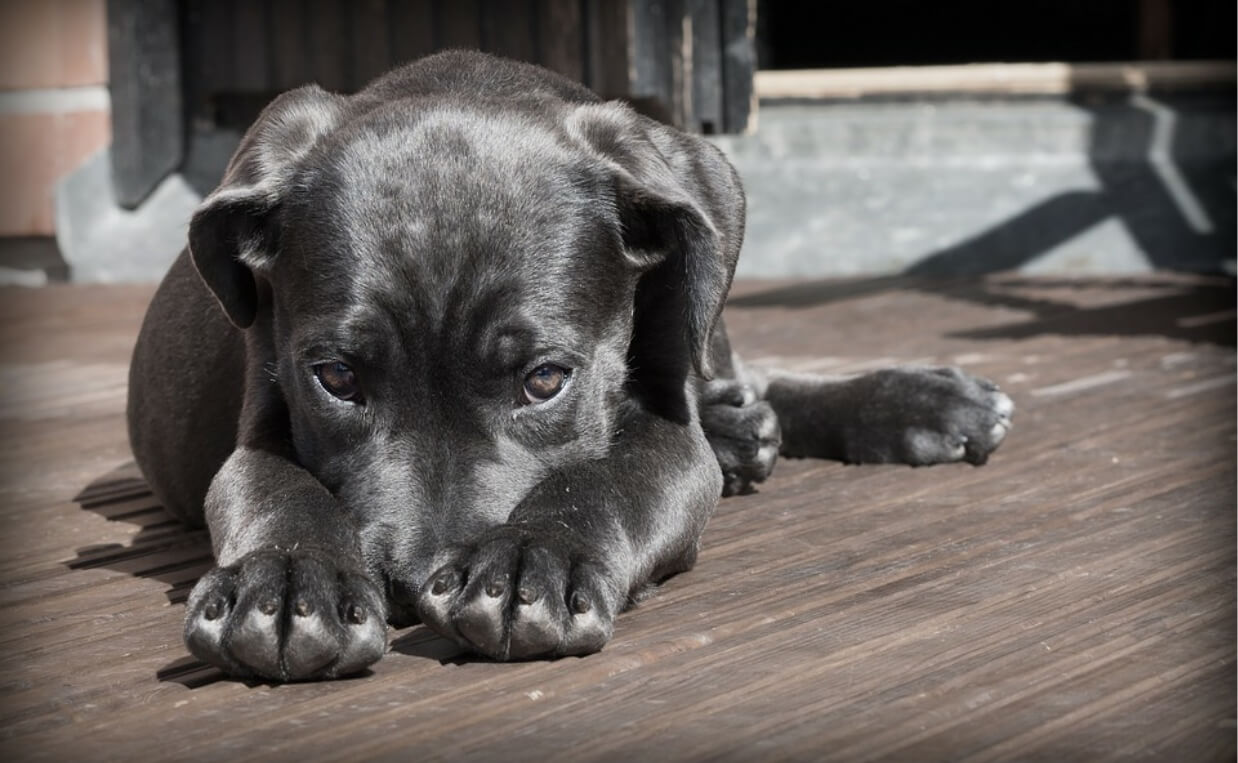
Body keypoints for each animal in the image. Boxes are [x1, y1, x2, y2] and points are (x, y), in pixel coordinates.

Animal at [130, 50, 1010, 683]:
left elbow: (607, 477)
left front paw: (533, 558)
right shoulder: (262, 415)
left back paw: (915, 402)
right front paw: (285, 582)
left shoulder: (666, 432)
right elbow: (274, 487)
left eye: (545, 379)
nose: (413, 585)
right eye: (337, 379)